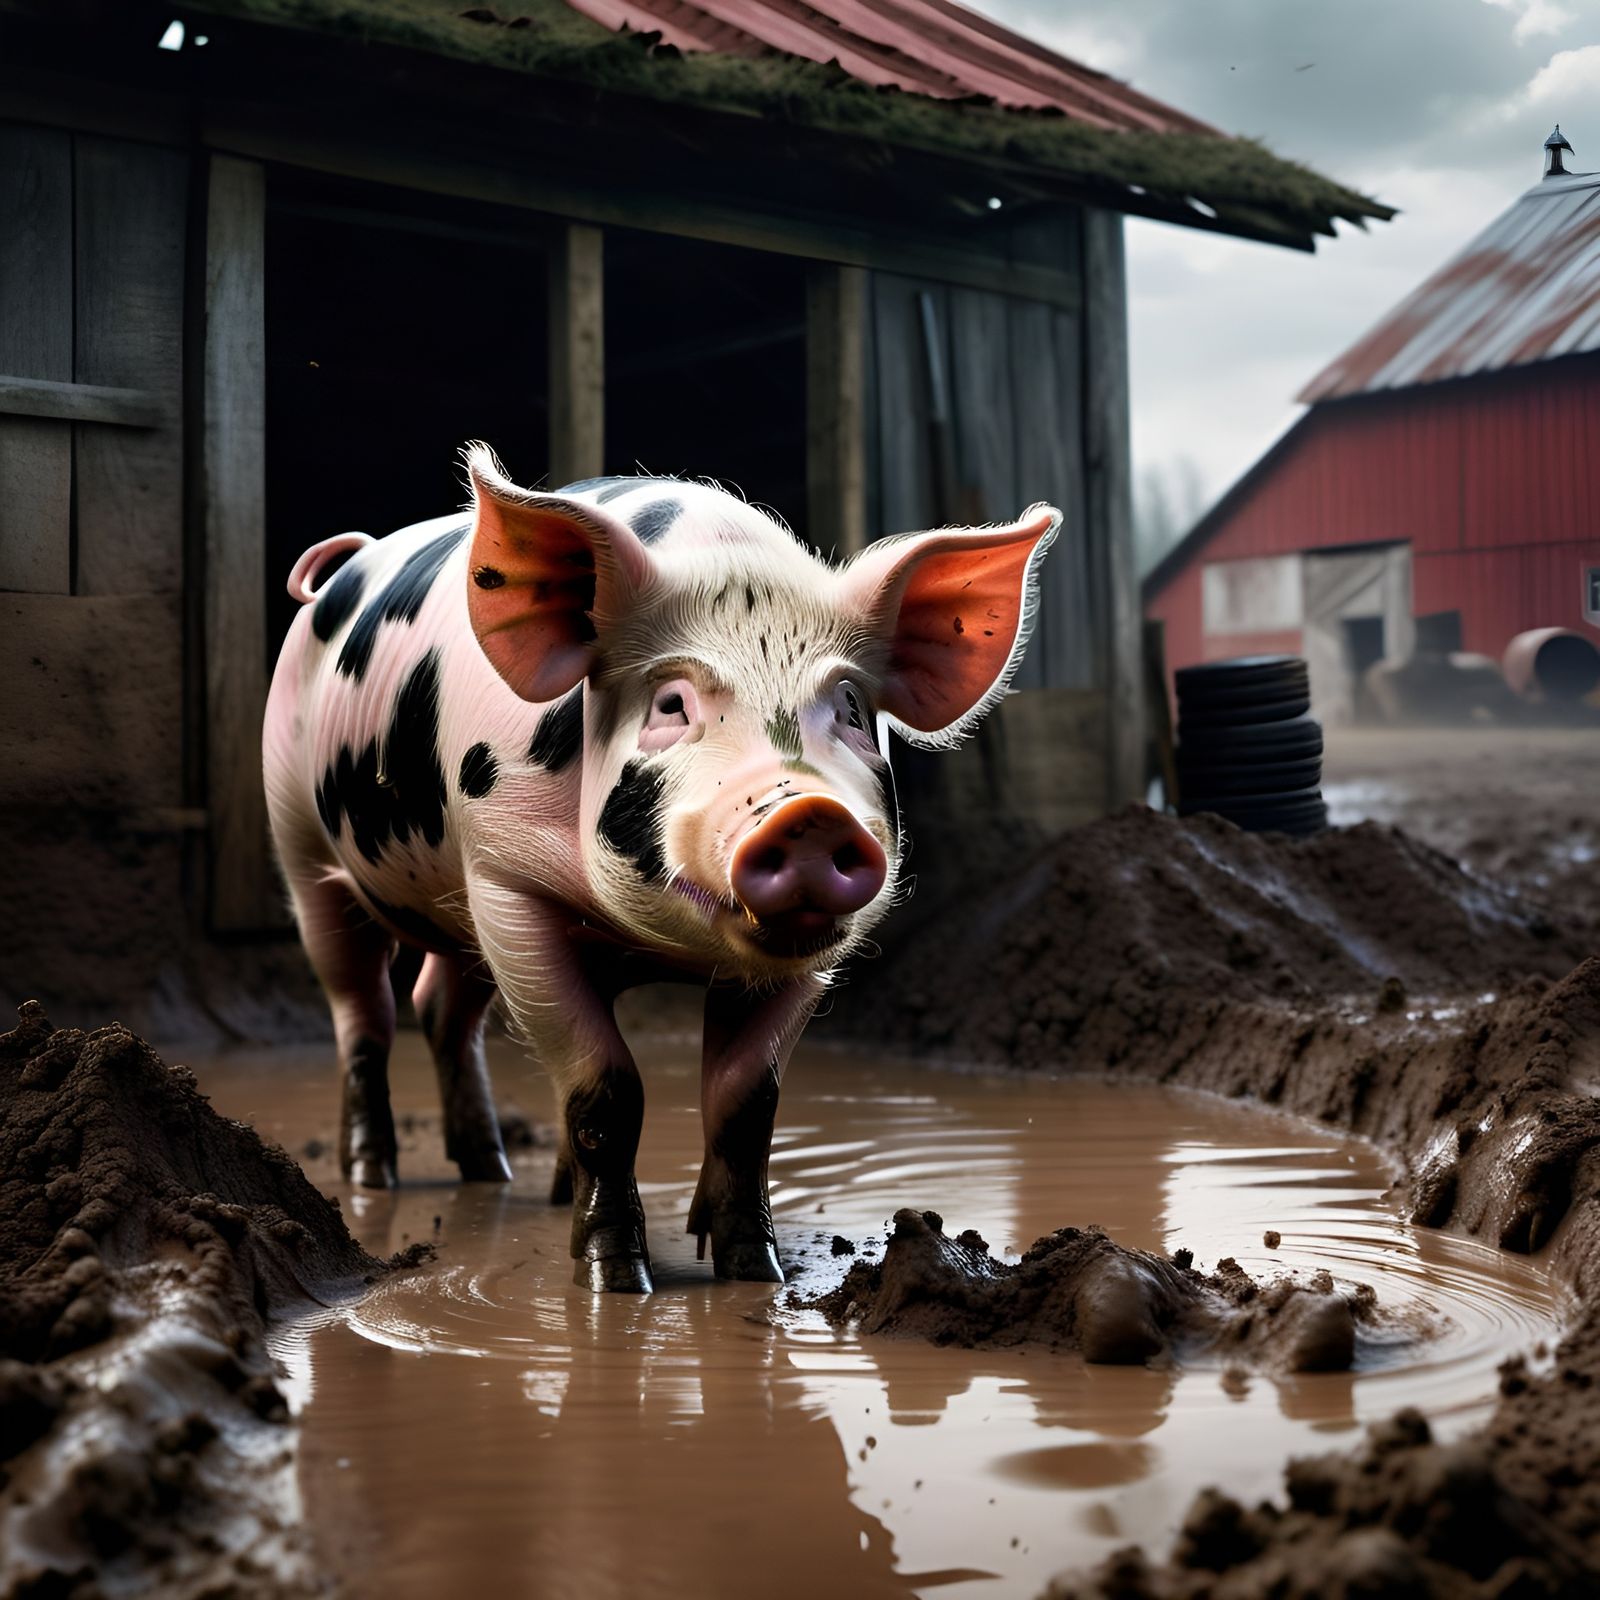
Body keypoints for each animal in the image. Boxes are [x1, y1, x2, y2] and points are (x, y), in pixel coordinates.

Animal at [264, 444, 1059, 1292]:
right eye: (672, 703)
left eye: (848, 708)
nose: (809, 812)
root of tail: (344, 569)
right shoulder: (507, 879)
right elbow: (606, 1091)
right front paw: (617, 1281)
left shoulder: (808, 959)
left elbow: (747, 1103)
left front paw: (753, 1272)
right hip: (304, 848)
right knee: (365, 1010)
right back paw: (373, 1173)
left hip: (454, 904)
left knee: (443, 1006)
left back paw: (493, 1170)